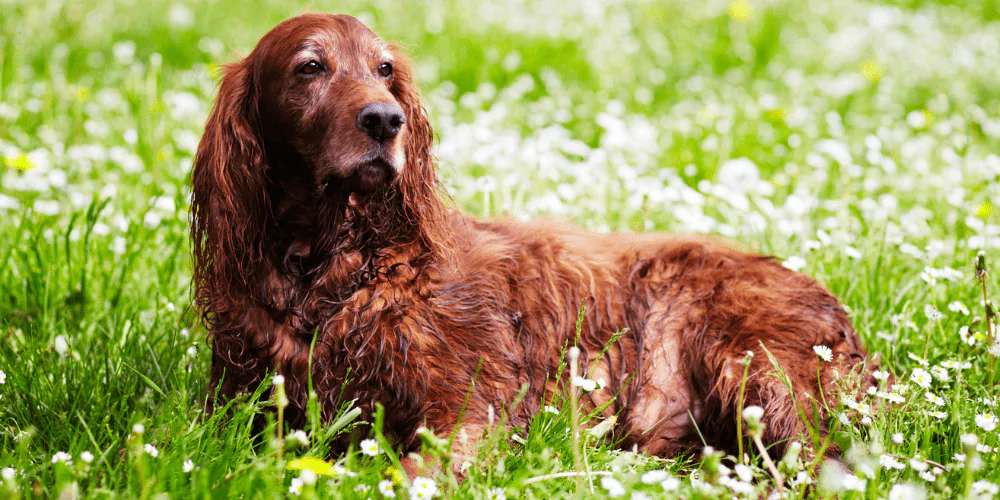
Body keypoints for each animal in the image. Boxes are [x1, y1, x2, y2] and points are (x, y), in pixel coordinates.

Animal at [189, 10, 876, 472]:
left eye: (384, 70)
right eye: (310, 67)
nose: (386, 118)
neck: (334, 269)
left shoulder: (473, 404)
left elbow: (416, 468)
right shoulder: (242, 403)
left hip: (755, 369)